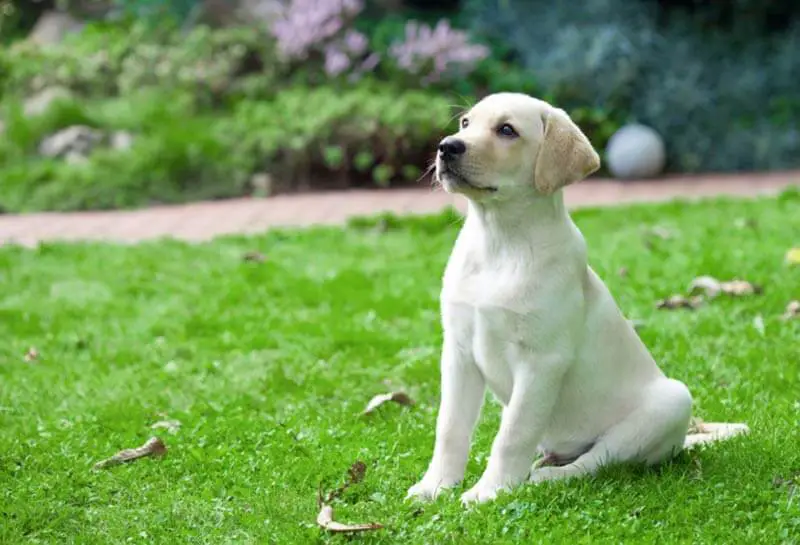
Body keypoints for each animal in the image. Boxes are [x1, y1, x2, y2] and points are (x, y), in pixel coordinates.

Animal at [406, 91, 752, 504]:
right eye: (465, 123)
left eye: (507, 130)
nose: (447, 147)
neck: (500, 242)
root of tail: (684, 440)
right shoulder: (459, 352)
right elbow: (450, 427)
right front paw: (436, 485)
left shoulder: (542, 360)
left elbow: (512, 434)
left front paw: (489, 492)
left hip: (669, 404)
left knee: (596, 462)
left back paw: (545, 477)